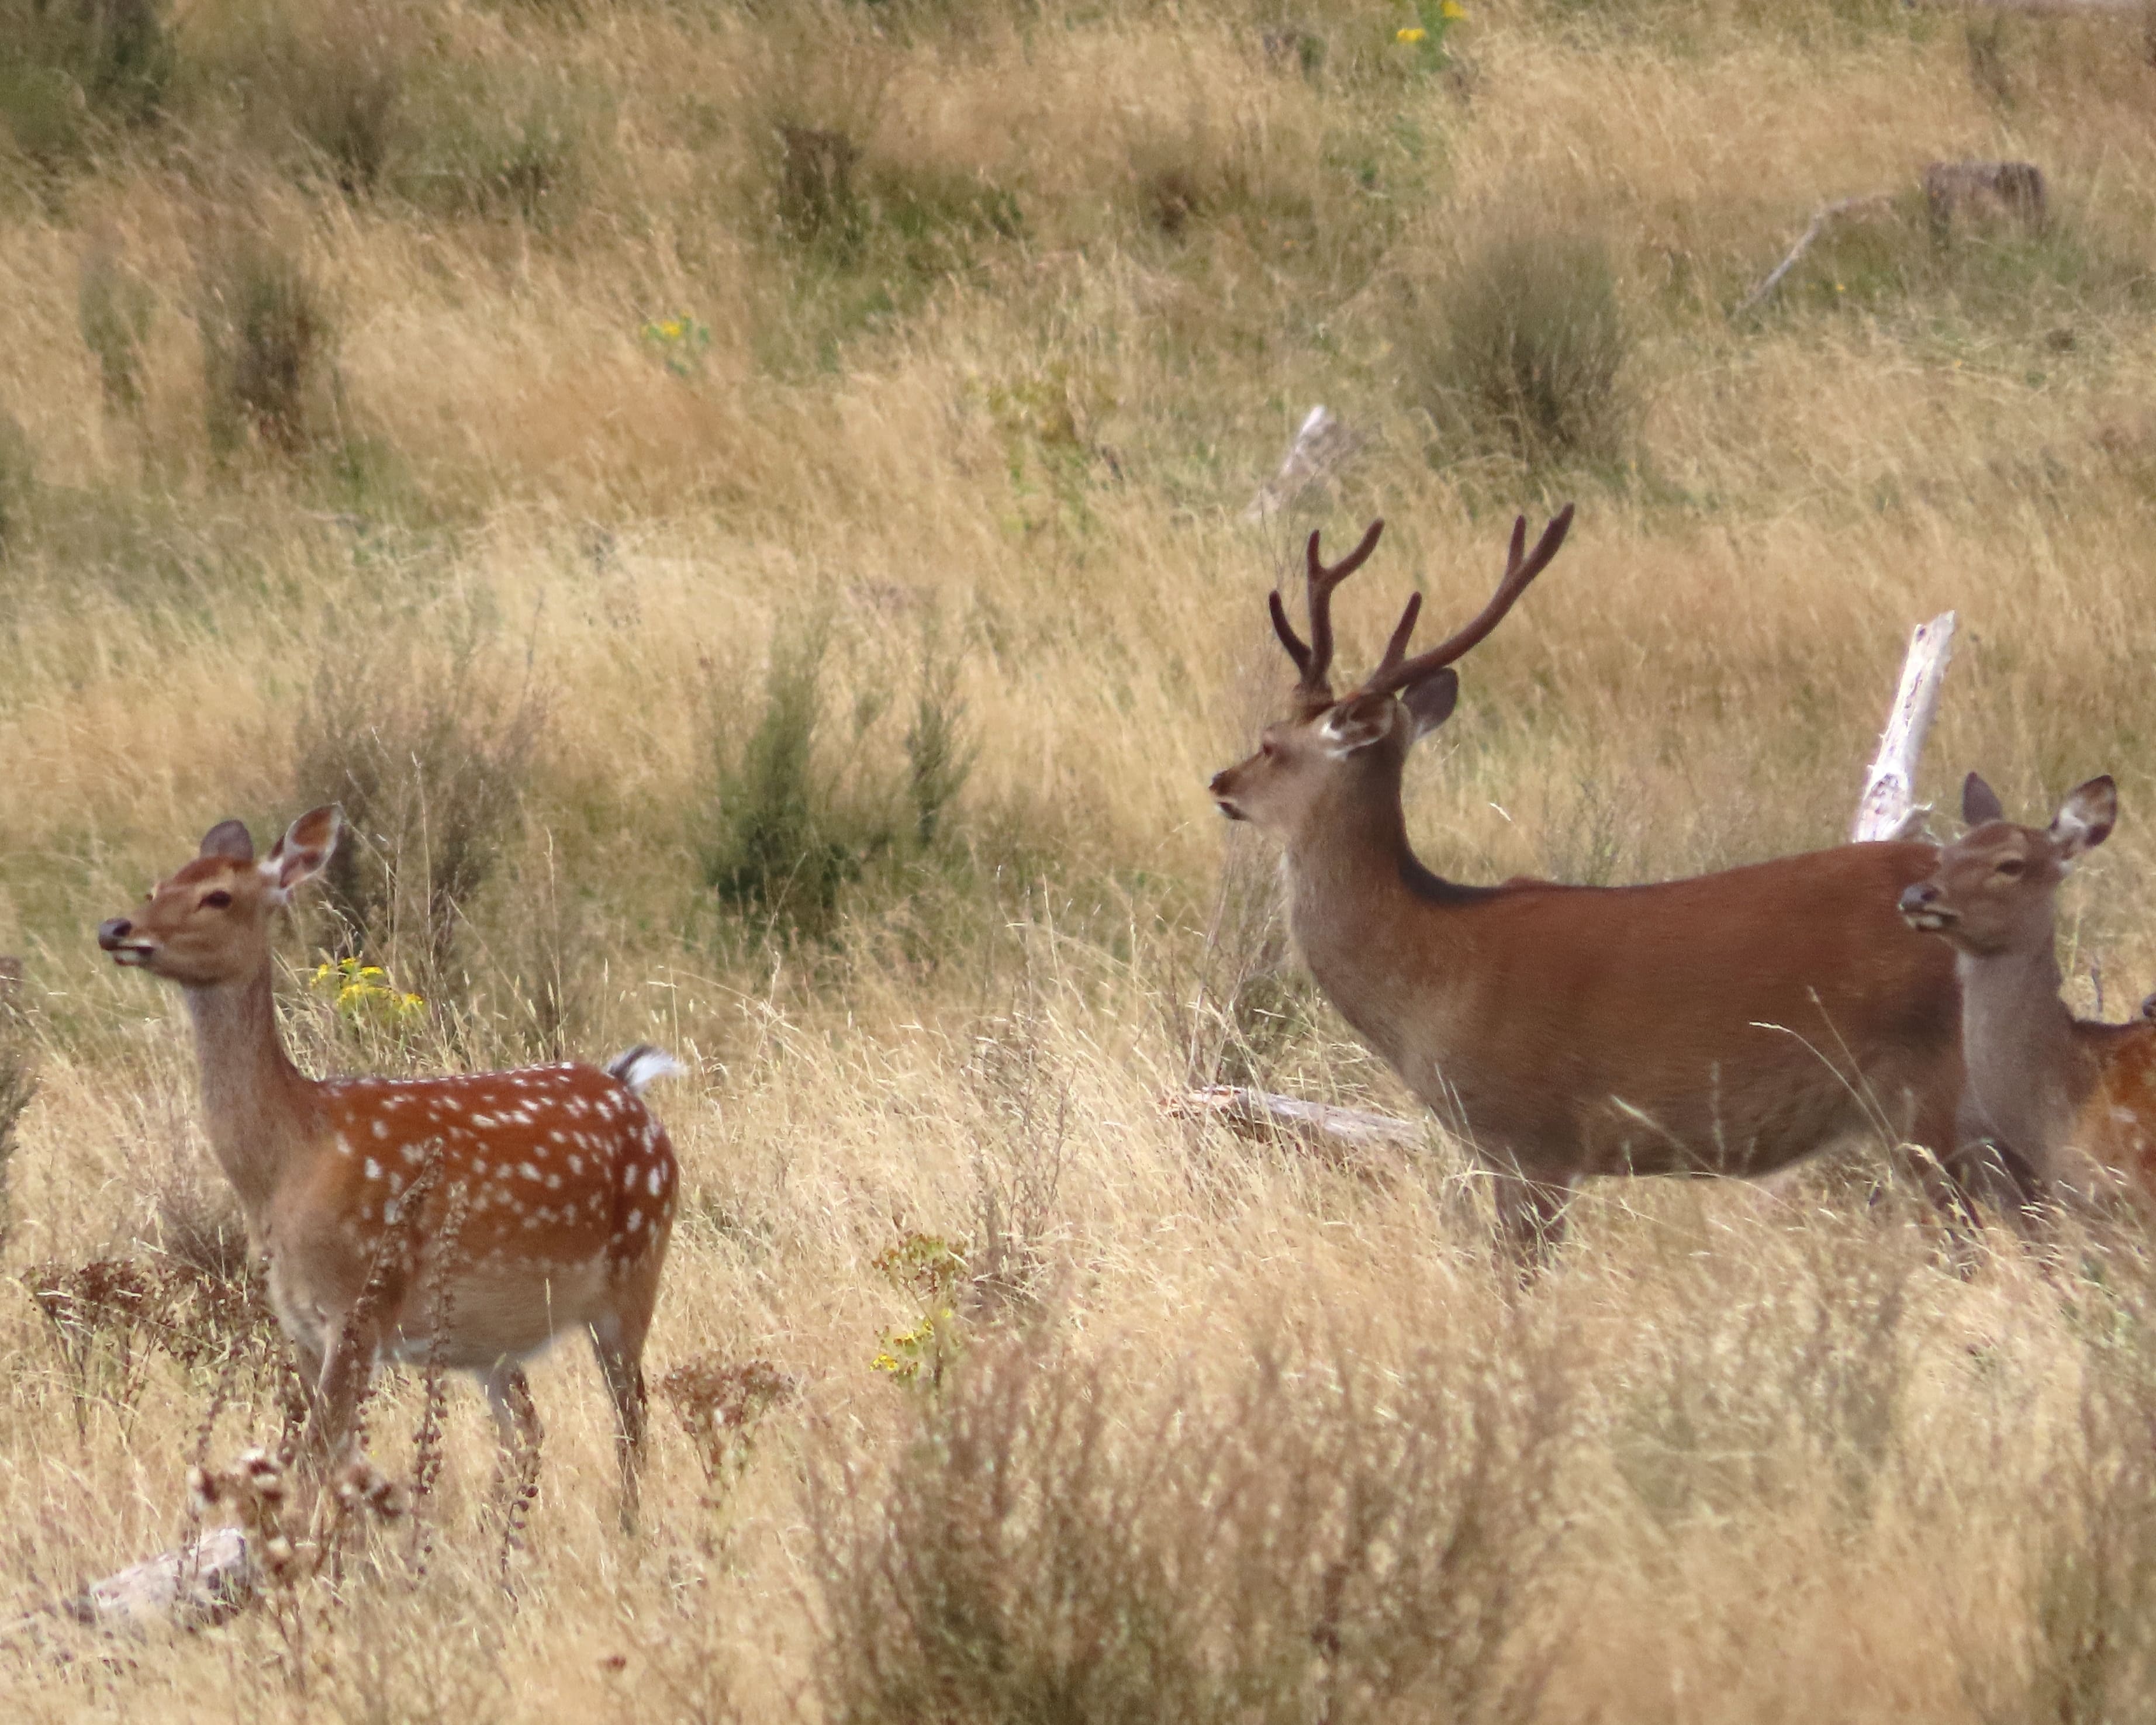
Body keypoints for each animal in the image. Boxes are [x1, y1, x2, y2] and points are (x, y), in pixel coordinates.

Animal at [95, 802, 672, 1517]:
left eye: (218, 895)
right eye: (156, 886)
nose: (115, 928)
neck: (289, 1162)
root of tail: (631, 1088)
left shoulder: (362, 1300)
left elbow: (315, 1461)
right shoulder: (299, 1321)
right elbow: (328, 1457)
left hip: (634, 1273)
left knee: (632, 1418)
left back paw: (626, 1527)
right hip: (489, 1332)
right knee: (528, 1432)